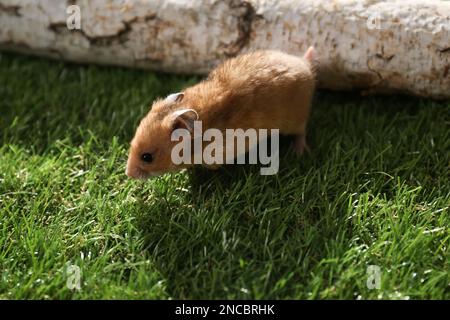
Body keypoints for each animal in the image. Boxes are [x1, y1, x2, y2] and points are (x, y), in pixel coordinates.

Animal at [126, 47, 316, 180]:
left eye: (147, 157)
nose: (128, 174)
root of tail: (305, 65)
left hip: (295, 118)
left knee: (301, 132)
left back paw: (298, 152)